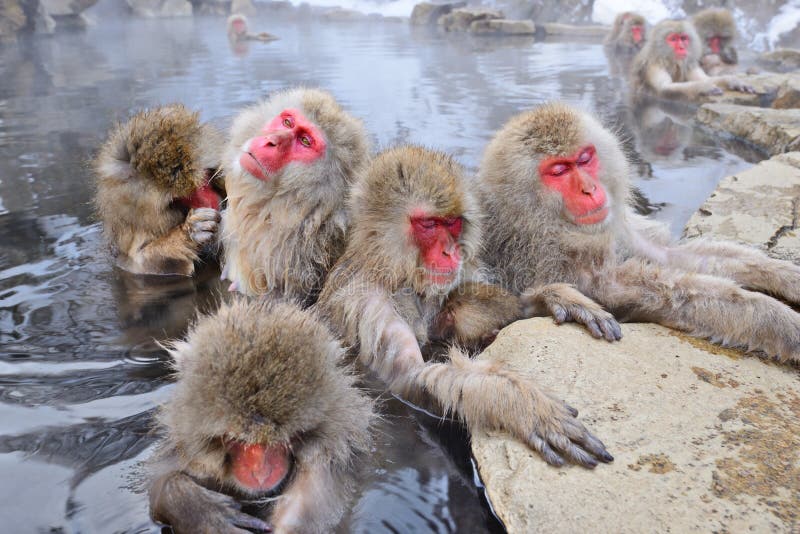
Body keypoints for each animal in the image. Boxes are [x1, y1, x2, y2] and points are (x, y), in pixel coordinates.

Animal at [318, 146, 612, 468]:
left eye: (452, 223)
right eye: (429, 224)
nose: (450, 251)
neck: (395, 272)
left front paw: (556, 297)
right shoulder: (369, 306)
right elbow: (409, 381)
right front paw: (515, 401)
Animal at [478, 102, 800, 366]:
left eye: (584, 159)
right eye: (558, 170)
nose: (589, 189)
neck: (538, 221)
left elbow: (668, 254)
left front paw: (784, 274)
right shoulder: (543, 256)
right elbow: (653, 290)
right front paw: (781, 321)